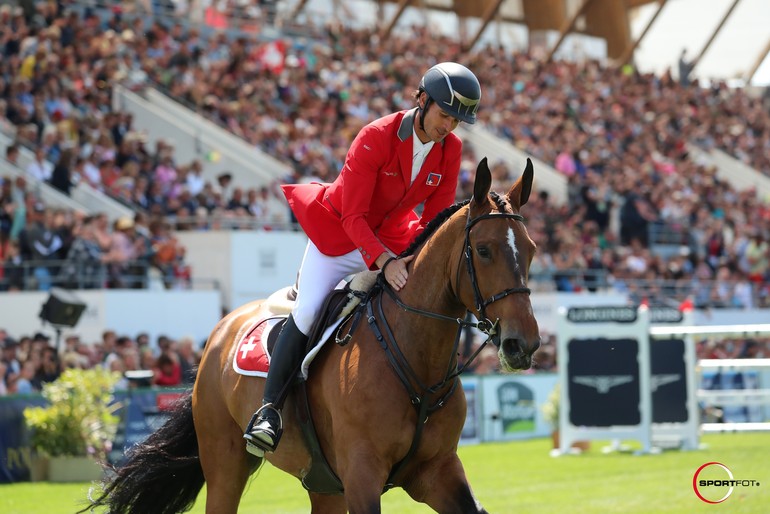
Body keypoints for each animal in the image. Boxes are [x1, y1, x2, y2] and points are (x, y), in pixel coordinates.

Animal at [82, 157, 540, 512]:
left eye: (532, 250)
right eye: (484, 250)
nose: (524, 344)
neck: (417, 365)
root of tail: (222, 328)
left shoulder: (438, 471)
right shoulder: (361, 476)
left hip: (322, 484)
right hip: (225, 461)